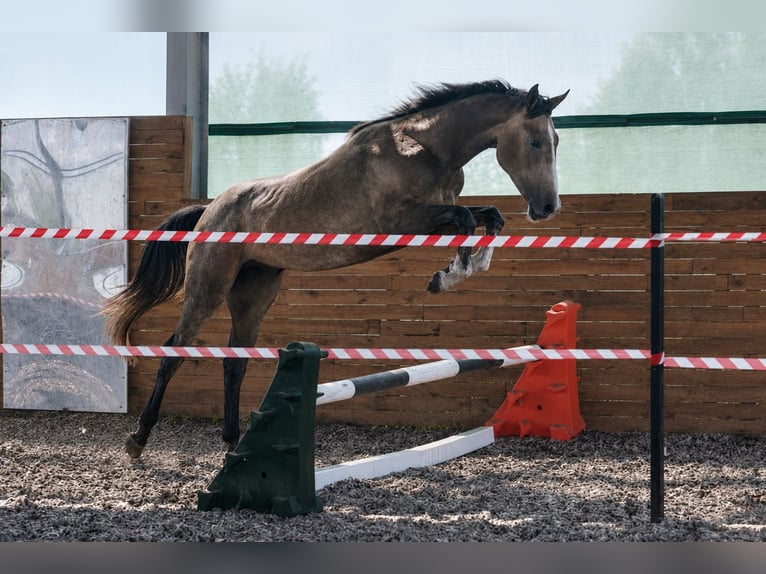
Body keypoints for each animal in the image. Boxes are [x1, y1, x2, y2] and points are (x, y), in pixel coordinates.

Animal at [102, 79, 569, 458]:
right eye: (534, 142)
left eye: (556, 140)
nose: (547, 207)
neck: (426, 149)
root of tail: (208, 211)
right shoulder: (401, 222)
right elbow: (469, 220)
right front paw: (450, 275)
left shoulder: (433, 217)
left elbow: (488, 218)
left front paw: (459, 269)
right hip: (209, 286)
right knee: (173, 352)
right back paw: (137, 441)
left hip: (255, 292)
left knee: (234, 363)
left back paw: (233, 447)